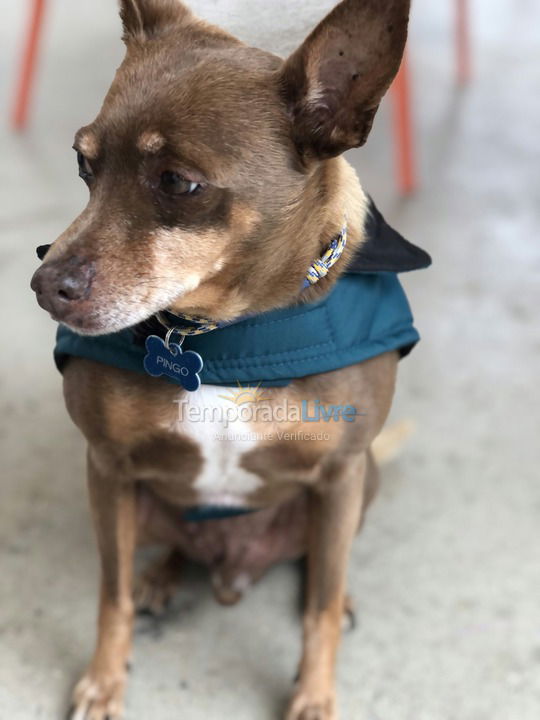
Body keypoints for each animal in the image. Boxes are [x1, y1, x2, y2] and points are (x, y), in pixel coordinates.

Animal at [31, 1, 412, 720]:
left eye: (178, 183)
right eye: (83, 165)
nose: (43, 285)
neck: (225, 336)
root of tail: (235, 568)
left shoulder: (341, 472)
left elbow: (319, 607)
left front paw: (314, 694)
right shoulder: (108, 468)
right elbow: (110, 595)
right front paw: (104, 680)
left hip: (363, 482)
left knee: (323, 565)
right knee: (168, 550)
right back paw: (162, 575)